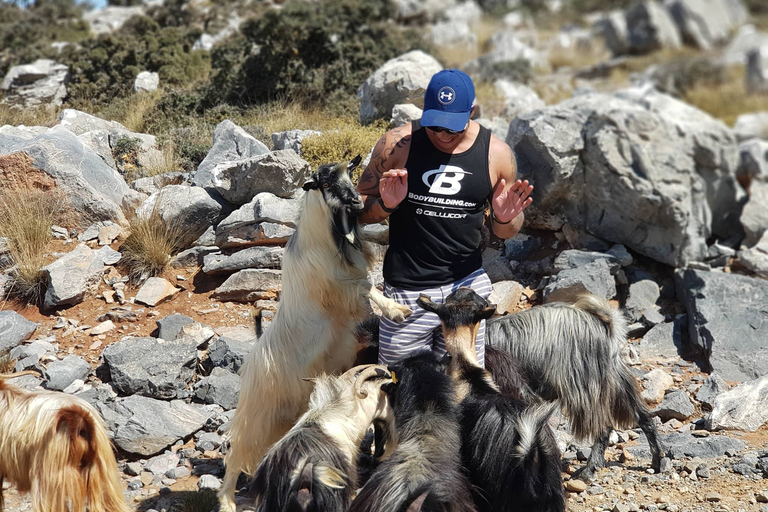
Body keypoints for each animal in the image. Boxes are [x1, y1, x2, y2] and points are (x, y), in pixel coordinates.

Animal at [219, 155, 412, 512]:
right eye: (325, 184)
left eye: (349, 174)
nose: (358, 201)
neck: (322, 240)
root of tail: (252, 360)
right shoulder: (342, 293)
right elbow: (367, 286)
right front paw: (396, 310)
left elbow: (367, 285)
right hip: (258, 414)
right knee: (236, 454)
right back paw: (226, 500)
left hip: (283, 417)